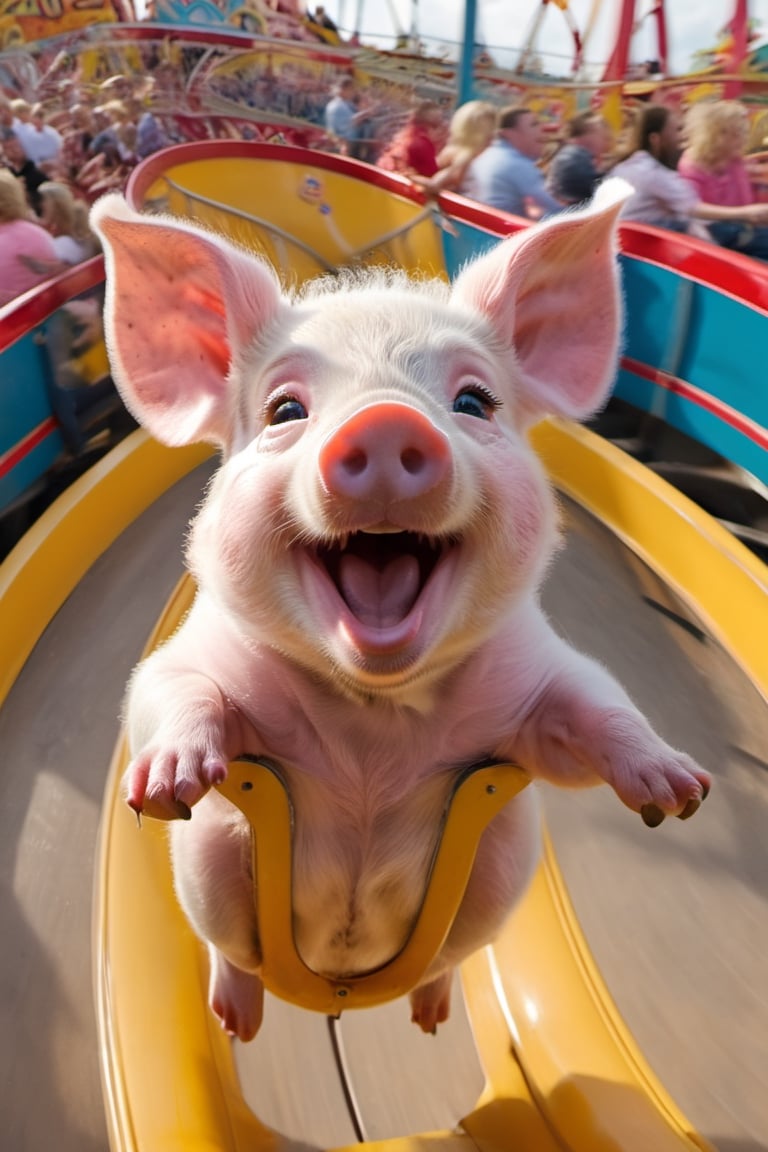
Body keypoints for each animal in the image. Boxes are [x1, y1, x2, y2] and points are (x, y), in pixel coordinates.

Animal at [91, 181, 711, 1043]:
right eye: (285, 410)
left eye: (472, 400)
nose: (387, 419)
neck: (375, 725)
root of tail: (341, 981)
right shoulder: (190, 656)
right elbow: (166, 690)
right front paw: (164, 787)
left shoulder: (540, 679)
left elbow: (594, 707)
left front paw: (681, 794)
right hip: (209, 866)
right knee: (231, 952)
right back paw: (236, 1021)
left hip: (502, 868)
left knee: (449, 956)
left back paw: (429, 1016)